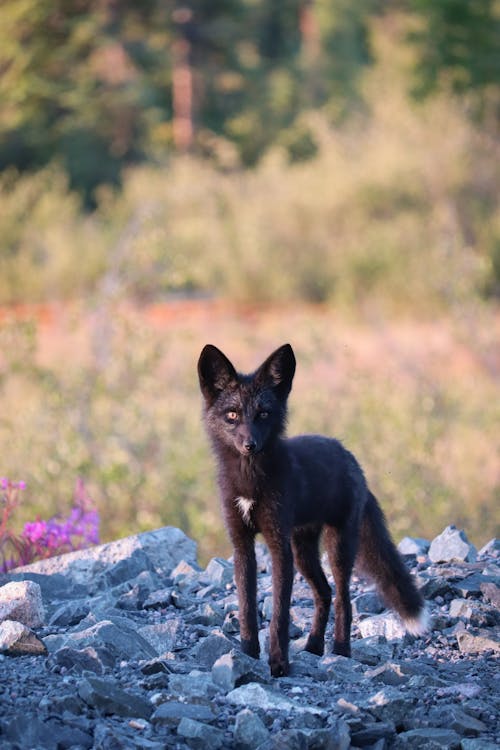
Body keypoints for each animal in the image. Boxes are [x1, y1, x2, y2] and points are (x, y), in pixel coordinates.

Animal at [197, 344, 428, 680]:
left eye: (264, 414)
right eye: (232, 415)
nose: (250, 444)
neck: (250, 482)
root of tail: (352, 460)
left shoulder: (279, 545)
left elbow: (280, 614)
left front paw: (279, 664)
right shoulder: (242, 544)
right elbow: (246, 609)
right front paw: (247, 655)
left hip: (337, 547)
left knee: (344, 599)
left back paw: (341, 650)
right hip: (304, 550)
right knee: (325, 593)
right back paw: (314, 646)